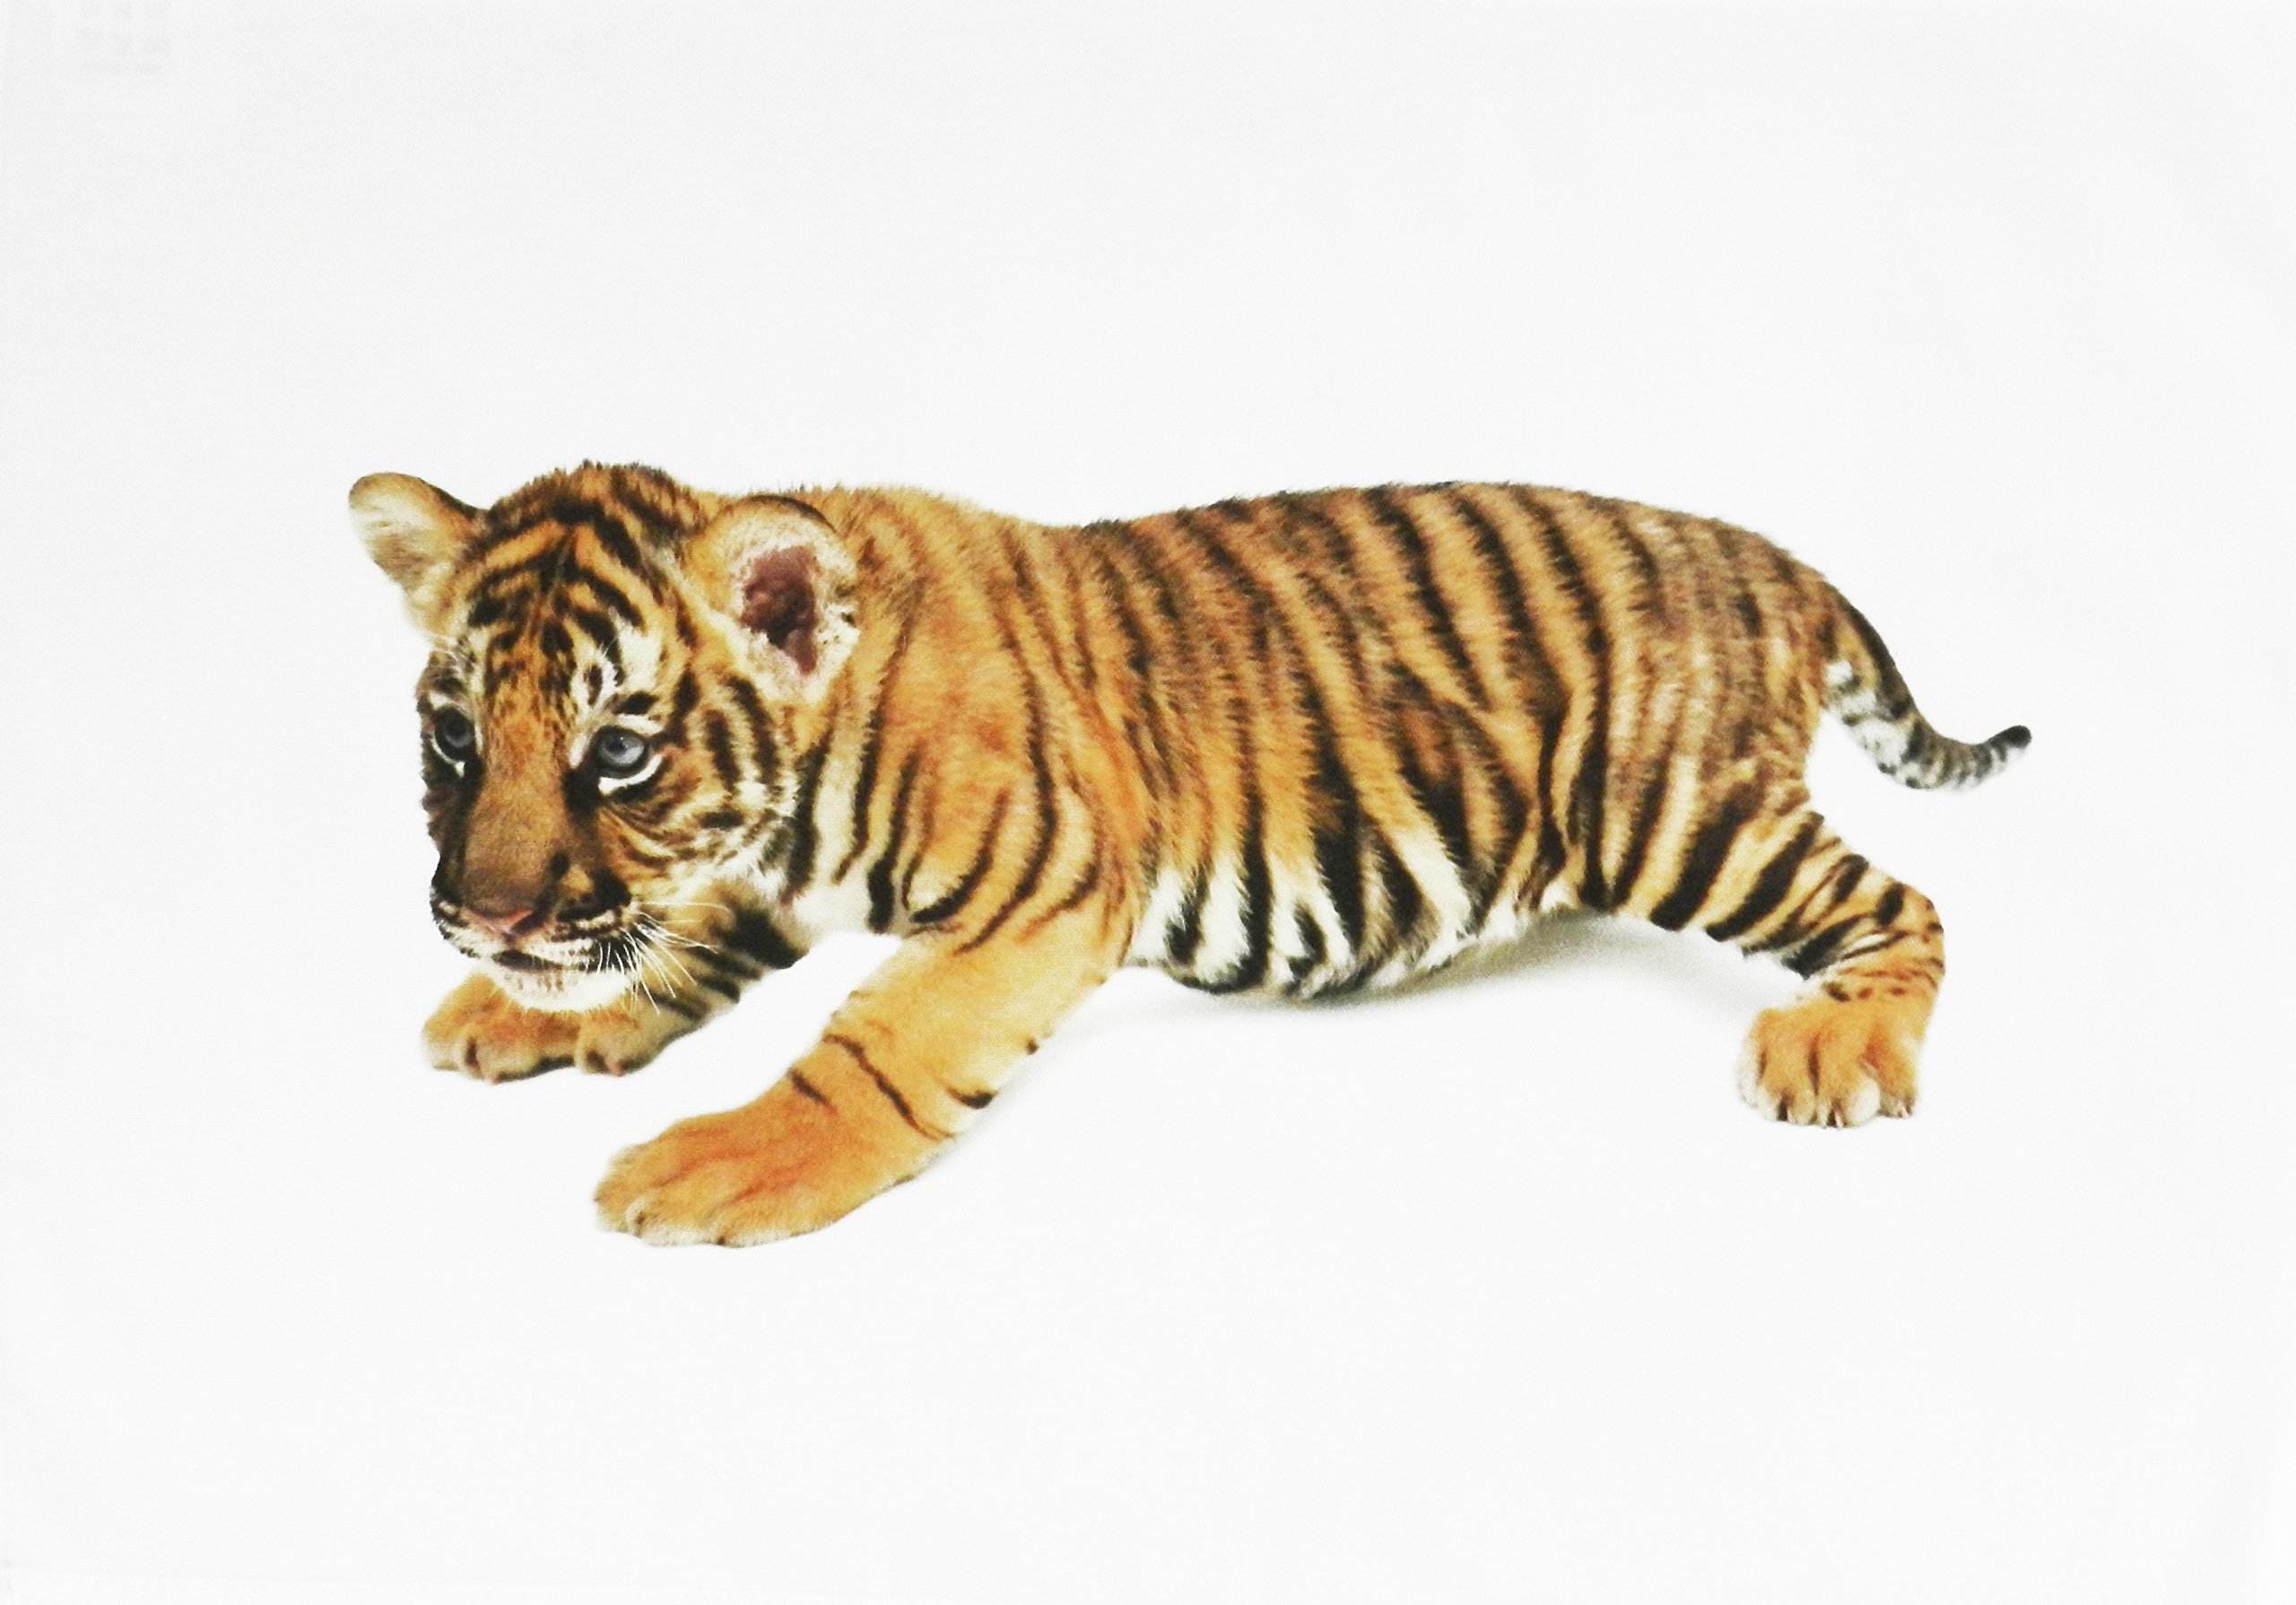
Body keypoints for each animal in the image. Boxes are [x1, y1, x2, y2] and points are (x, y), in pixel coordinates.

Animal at [352, 462, 2029, 1246]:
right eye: (455, 735)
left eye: (617, 751)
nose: (481, 921)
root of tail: (1775, 555)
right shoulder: (756, 879)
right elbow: (684, 937)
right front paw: (523, 1012)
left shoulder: (1045, 890)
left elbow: (876, 1047)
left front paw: (721, 1162)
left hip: (1673, 813)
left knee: (1905, 900)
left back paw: (1839, 1047)